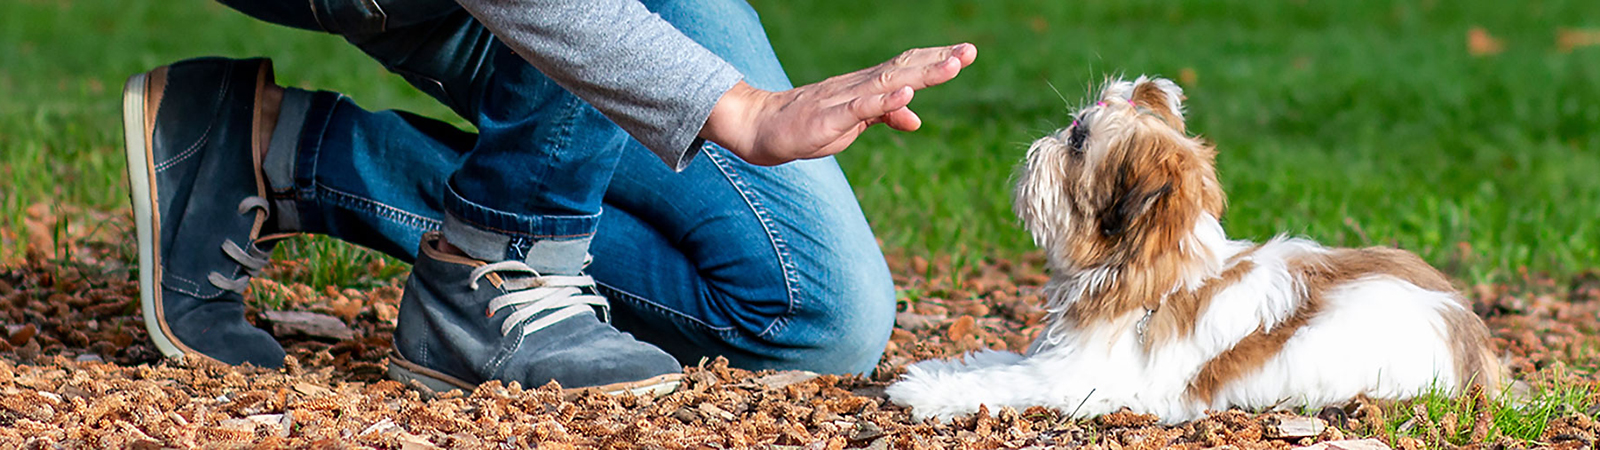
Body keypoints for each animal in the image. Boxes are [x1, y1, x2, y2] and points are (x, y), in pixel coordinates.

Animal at [889, 75, 1497, 422]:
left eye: (1079, 140)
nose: (1047, 139)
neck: (1146, 276)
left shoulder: (1077, 380)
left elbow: (1005, 382)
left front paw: (927, 392)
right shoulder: (1058, 355)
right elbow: (1002, 361)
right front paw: (940, 366)